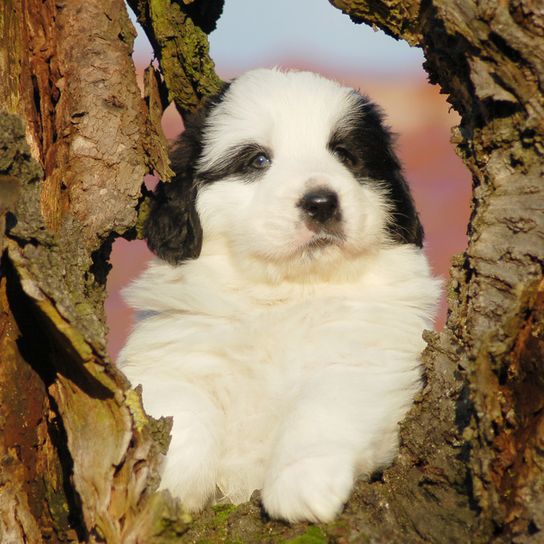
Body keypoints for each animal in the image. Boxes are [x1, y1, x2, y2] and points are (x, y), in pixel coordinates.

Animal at [120, 68, 442, 524]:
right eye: (258, 161)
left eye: (345, 155)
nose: (321, 203)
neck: (284, 294)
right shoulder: (171, 355)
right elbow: (179, 409)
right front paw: (170, 483)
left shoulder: (367, 358)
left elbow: (322, 409)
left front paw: (302, 486)